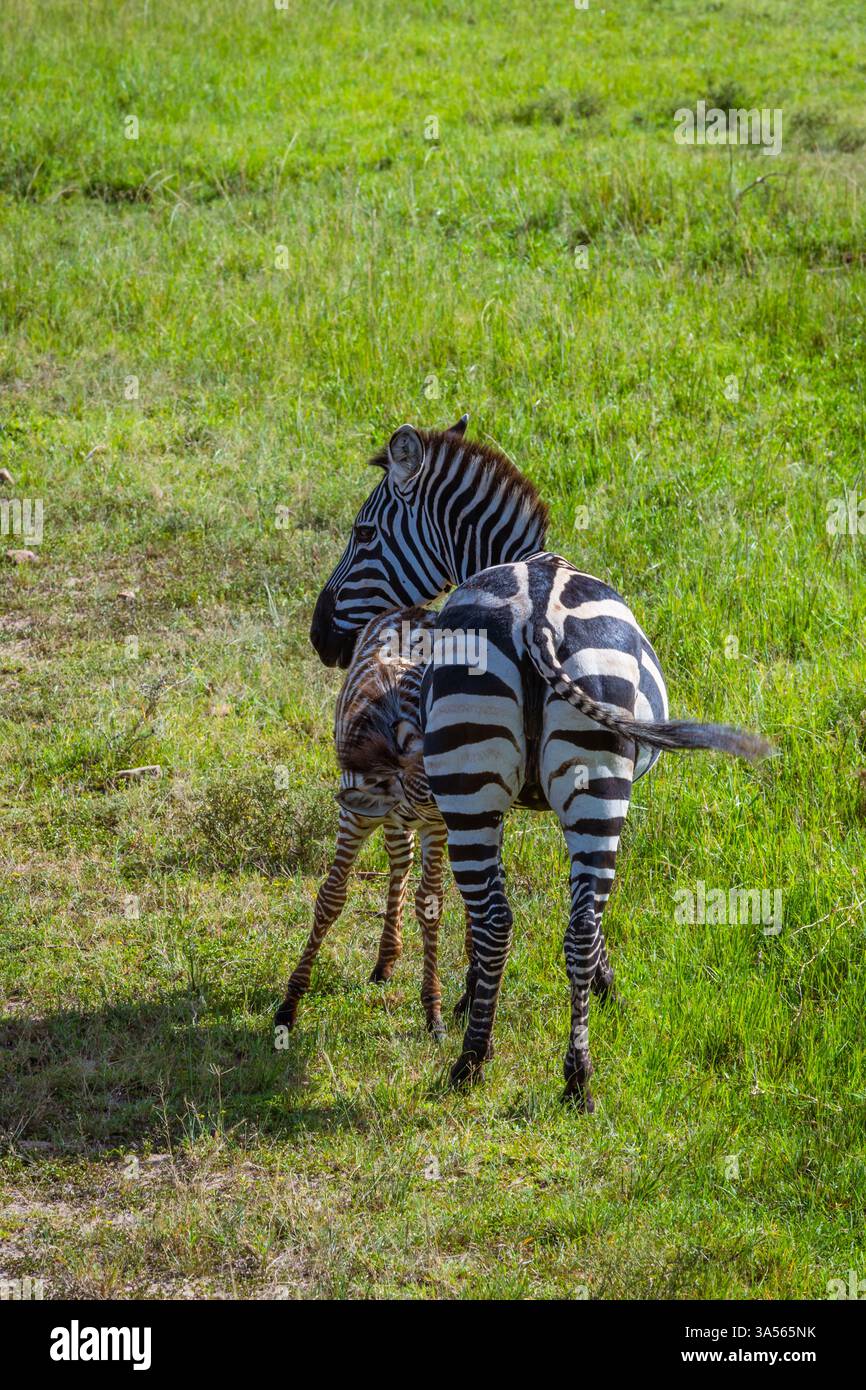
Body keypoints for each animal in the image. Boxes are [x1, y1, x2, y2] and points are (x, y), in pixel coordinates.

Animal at [276, 607, 454, 1040]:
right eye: (429, 794)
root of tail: (416, 610)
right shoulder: (355, 814)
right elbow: (332, 897)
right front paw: (290, 1004)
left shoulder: (434, 826)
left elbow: (431, 903)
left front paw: (434, 1011)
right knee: (400, 860)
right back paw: (385, 959)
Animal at [307, 419, 772, 1108]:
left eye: (363, 533)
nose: (319, 636)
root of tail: (536, 622)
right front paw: (598, 988)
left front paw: (481, 996)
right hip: (573, 787)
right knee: (548, 920)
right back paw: (541, 1069)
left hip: (489, 791)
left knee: (506, 918)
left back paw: (503, 1061)